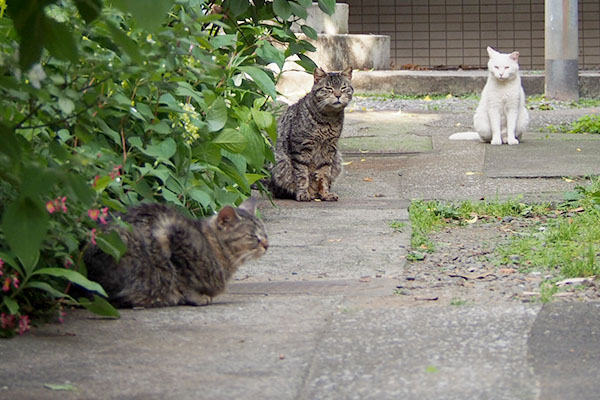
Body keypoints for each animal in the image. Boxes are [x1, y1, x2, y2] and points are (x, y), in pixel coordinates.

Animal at [82, 198, 268, 308]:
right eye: (253, 236)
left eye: (265, 233)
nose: (267, 245)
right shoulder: (170, 235)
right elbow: (183, 279)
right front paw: (197, 297)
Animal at [270, 67, 354, 203]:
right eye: (328, 88)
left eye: (343, 88)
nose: (338, 95)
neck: (328, 119)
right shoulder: (300, 148)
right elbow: (302, 174)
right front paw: (304, 193)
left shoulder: (329, 149)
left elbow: (324, 174)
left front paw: (325, 193)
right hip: (281, 164)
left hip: (337, 159)